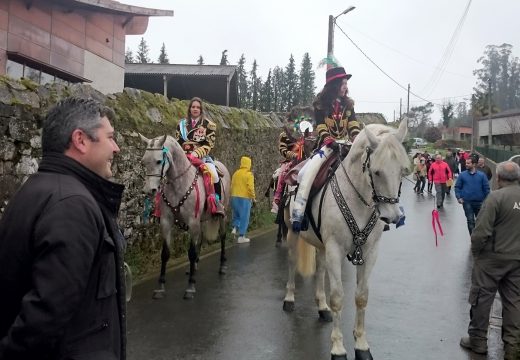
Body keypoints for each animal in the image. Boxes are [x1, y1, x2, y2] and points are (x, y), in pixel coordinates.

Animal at [139, 134, 231, 300]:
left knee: (222, 237)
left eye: (159, 161)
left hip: (222, 215)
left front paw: (190, 287)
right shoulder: (166, 222)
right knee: (200, 239)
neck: (178, 184)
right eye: (143, 162)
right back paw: (194, 267)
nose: (149, 190)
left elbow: (191, 253)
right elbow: (165, 253)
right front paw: (160, 286)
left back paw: (222, 265)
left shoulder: (192, 222)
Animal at [284, 119, 410, 358]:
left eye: (402, 170)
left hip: (322, 245)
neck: (359, 200)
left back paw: (321, 307)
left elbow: (361, 296)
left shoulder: (369, 252)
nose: (392, 216)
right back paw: (289, 299)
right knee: (293, 262)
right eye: (376, 172)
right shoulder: (335, 249)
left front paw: (361, 345)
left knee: (320, 268)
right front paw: (338, 348)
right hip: (293, 232)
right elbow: (337, 297)